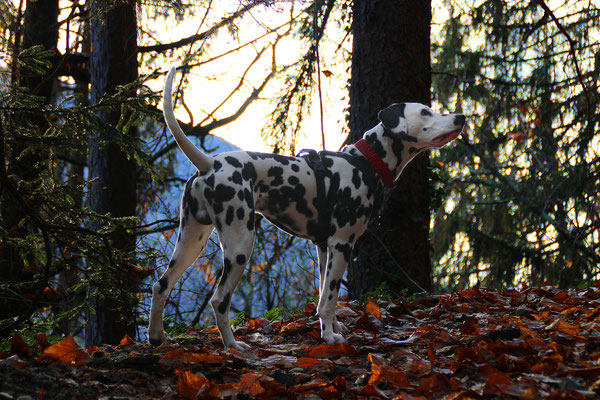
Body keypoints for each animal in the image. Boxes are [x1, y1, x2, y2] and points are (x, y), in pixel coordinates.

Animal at [148, 67, 466, 352]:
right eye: (425, 112)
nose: (460, 117)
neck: (364, 163)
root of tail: (210, 163)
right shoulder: (341, 245)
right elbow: (329, 299)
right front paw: (330, 338)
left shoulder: (324, 248)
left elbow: (327, 295)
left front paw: (333, 328)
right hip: (240, 246)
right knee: (219, 300)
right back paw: (233, 345)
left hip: (191, 243)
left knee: (160, 286)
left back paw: (157, 338)